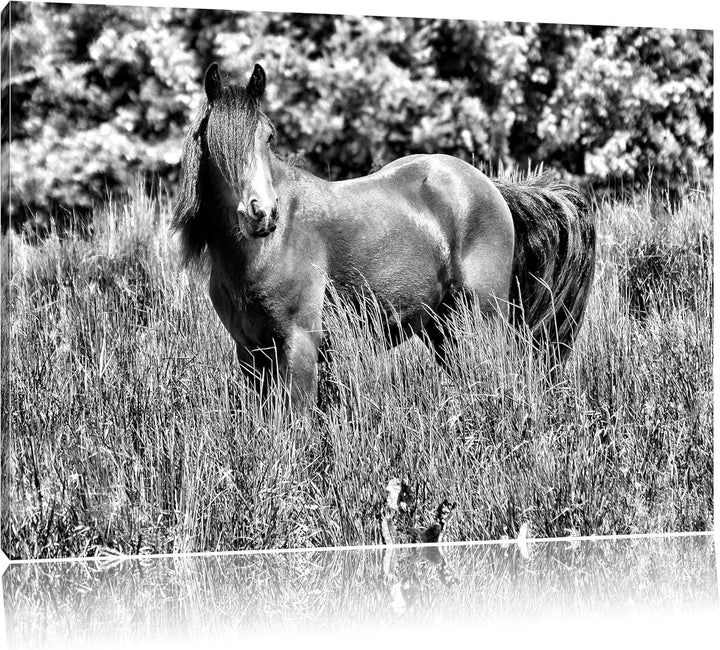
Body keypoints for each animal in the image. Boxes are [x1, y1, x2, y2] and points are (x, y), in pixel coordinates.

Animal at [172, 62, 596, 411]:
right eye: (212, 139)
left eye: (270, 136)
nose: (261, 213)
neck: (264, 250)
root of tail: (491, 187)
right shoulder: (251, 353)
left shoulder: (299, 344)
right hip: (444, 328)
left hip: (484, 318)